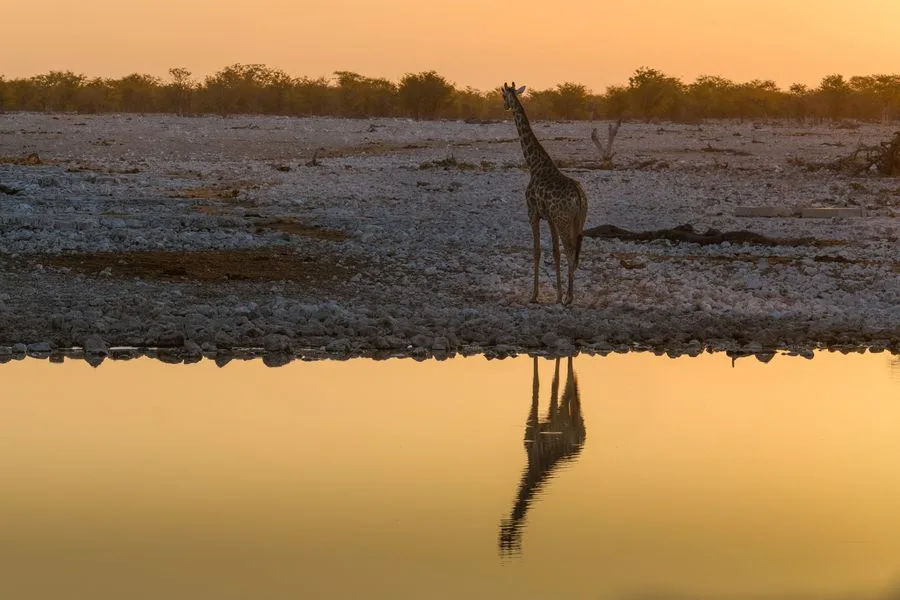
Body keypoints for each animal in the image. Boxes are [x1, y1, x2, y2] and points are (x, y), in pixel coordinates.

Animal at [499, 356, 586, 555]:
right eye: (503, 538)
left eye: (509, 539)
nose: (503, 524)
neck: (533, 465)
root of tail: (582, 441)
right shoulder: (534, 427)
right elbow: (541, 383)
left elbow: (547, 383)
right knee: (569, 390)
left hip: (570, 416)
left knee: (570, 384)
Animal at [501, 82, 589, 305]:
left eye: (502, 95)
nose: (505, 106)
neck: (534, 165)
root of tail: (579, 196)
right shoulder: (549, 217)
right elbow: (555, 252)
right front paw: (556, 295)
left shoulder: (533, 213)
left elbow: (537, 251)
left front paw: (534, 295)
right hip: (578, 220)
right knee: (575, 251)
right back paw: (567, 295)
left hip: (564, 220)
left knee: (570, 251)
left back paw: (569, 297)